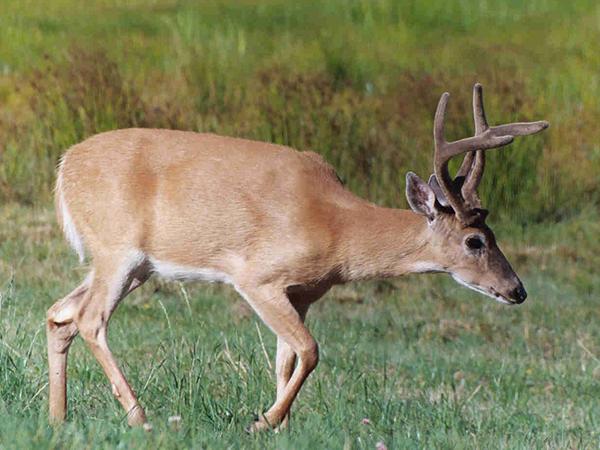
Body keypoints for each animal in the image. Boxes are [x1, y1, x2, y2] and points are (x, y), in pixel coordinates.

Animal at [47, 82, 548, 430]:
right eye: (474, 241)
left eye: (493, 233)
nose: (517, 290)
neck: (335, 227)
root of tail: (64, 166)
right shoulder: (257, 277)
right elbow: (310, 350)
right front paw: (262, 421)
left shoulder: (304, 293)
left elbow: (286, 359)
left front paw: (281, 424)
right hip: (117, 250)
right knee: (90, 318)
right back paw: (138, 415)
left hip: (135, 266)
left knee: (60, 313)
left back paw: (58, 416)